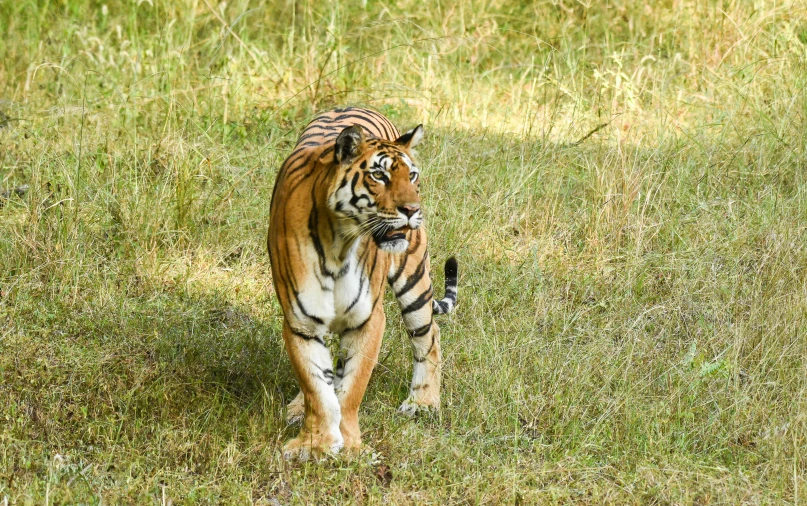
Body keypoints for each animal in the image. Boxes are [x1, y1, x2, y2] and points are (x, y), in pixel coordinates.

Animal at [270, 105, 458, 458]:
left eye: (412, 176)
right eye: (379, 176)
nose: (413, 210)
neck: (338, 244)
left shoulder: (368, 319)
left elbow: (352, 389)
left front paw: (352, 447)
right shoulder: (301, 323)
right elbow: (317, 387)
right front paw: (314, 444)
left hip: (413, 279)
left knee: (429, 335)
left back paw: (424, 403)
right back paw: (298, 408)